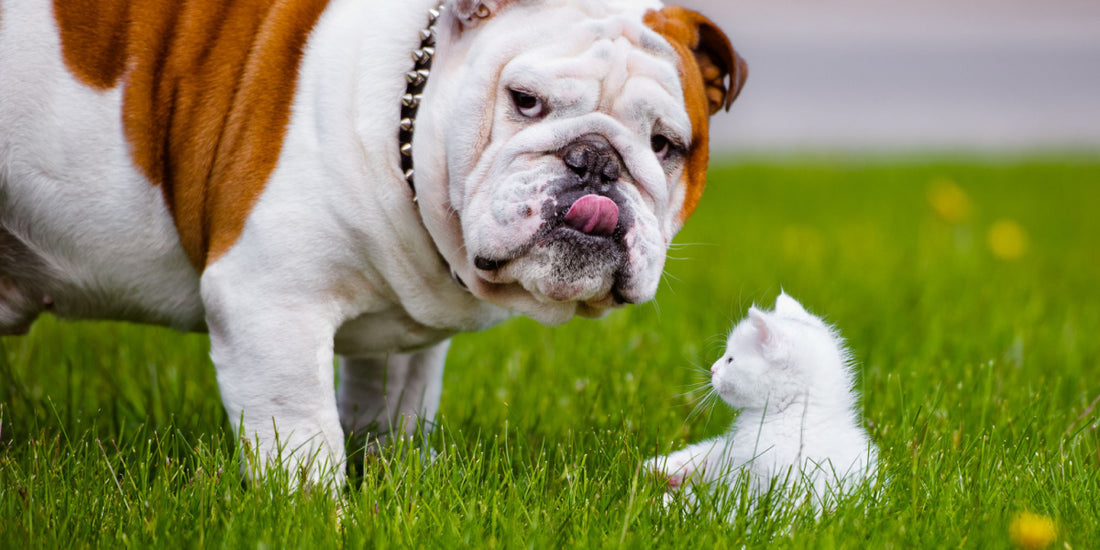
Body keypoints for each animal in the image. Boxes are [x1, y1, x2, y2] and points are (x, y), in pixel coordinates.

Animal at [646, 294, 880, 512]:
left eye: (730, 360)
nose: (712, 369)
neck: (789, 414)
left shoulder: (778, 482)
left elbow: (720, 507)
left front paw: (665, 504)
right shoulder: (730, 452)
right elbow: (709, 455)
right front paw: (663, 468)